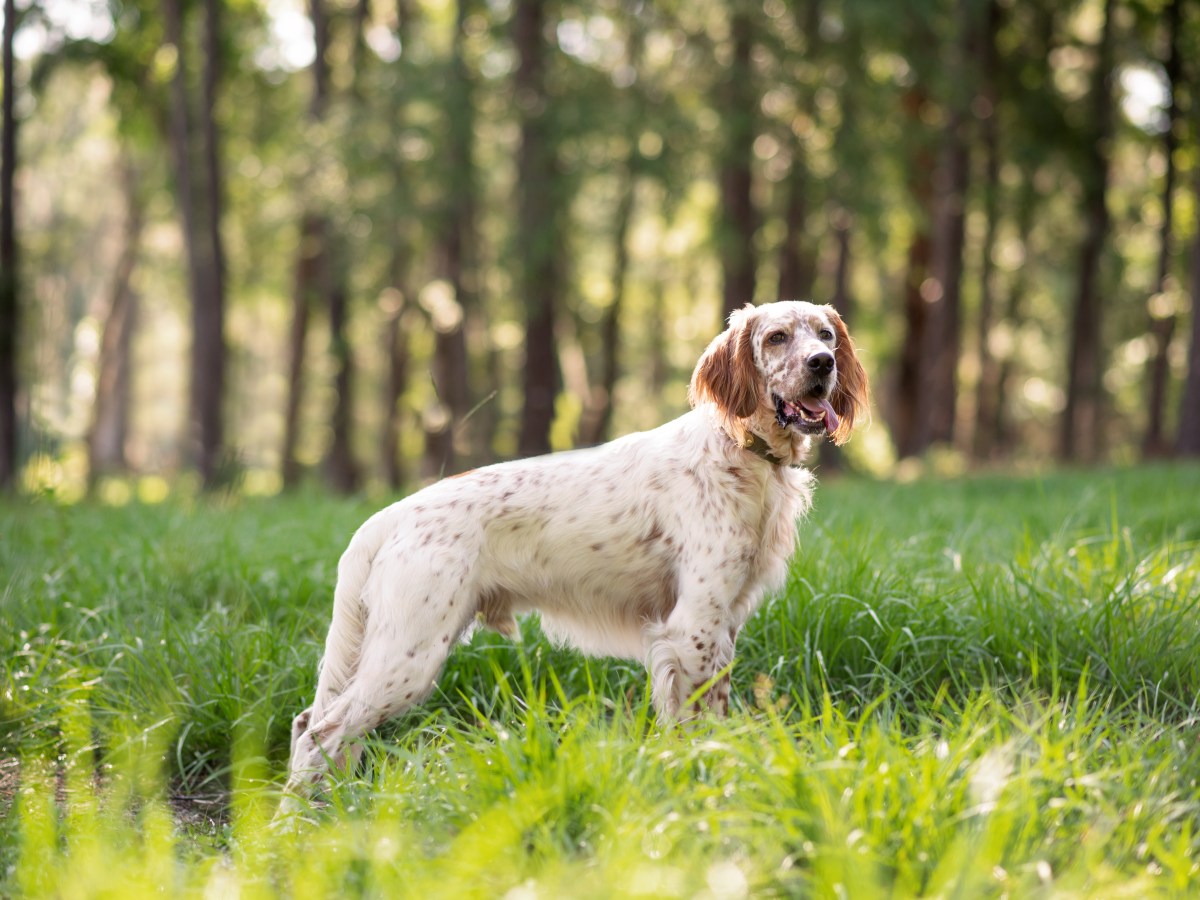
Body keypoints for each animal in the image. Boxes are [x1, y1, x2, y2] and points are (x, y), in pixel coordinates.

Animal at [277, 300, 868, 816]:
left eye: (826, 335)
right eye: (777, 337)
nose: (823, 364)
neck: (740, 452)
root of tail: (392, 515)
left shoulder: (721, 627)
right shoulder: (693, 628)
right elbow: (699, 727)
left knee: (314, 724)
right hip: (410, 655)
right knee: (319, 733)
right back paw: (293, 825)